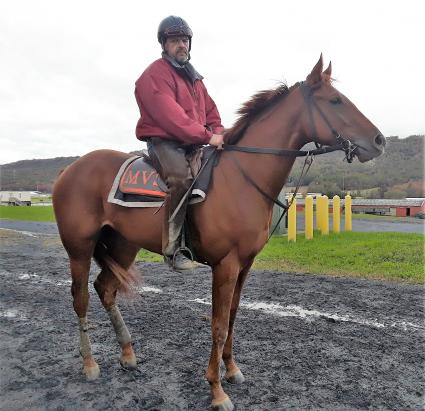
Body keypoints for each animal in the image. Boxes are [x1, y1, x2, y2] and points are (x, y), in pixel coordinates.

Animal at [52, 55, 384, 411]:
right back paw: (90, 364)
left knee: (105, 289)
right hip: (79, 247)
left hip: (124, 246)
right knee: (81, 298)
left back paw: (128, 354)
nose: (379, 141)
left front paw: (232, 369)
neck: (241, 178)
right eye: (335, 101)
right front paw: (216, 389)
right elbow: (219, 325)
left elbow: (233, 317)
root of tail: (70, 169)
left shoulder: (244, 265)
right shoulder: (225, 265)